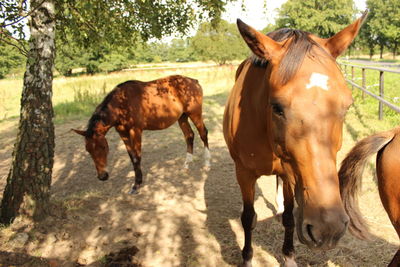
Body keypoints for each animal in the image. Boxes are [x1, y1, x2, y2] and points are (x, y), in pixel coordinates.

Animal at [72, 75, 209, 195]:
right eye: (88, 150)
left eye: (103, 147)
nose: (102, 176)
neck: (122, 103)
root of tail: (194, 81)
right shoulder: (122, 133)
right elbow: (132, 156)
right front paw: (137, 182)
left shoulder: (136, 131)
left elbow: (137, 157)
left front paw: (136, 185)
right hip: (182, 117)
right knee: (189, 136)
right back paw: (186, 165)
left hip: (195, 114)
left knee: (203, 133)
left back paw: (207, 163)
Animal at [223, 11, 368, 267]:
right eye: (277, 107)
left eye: (347, 106)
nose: (327, 229)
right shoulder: (244, 173)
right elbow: (248, 218)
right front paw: (247, 257)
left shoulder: (289, 171)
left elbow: (290, 219)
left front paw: (289, 256)